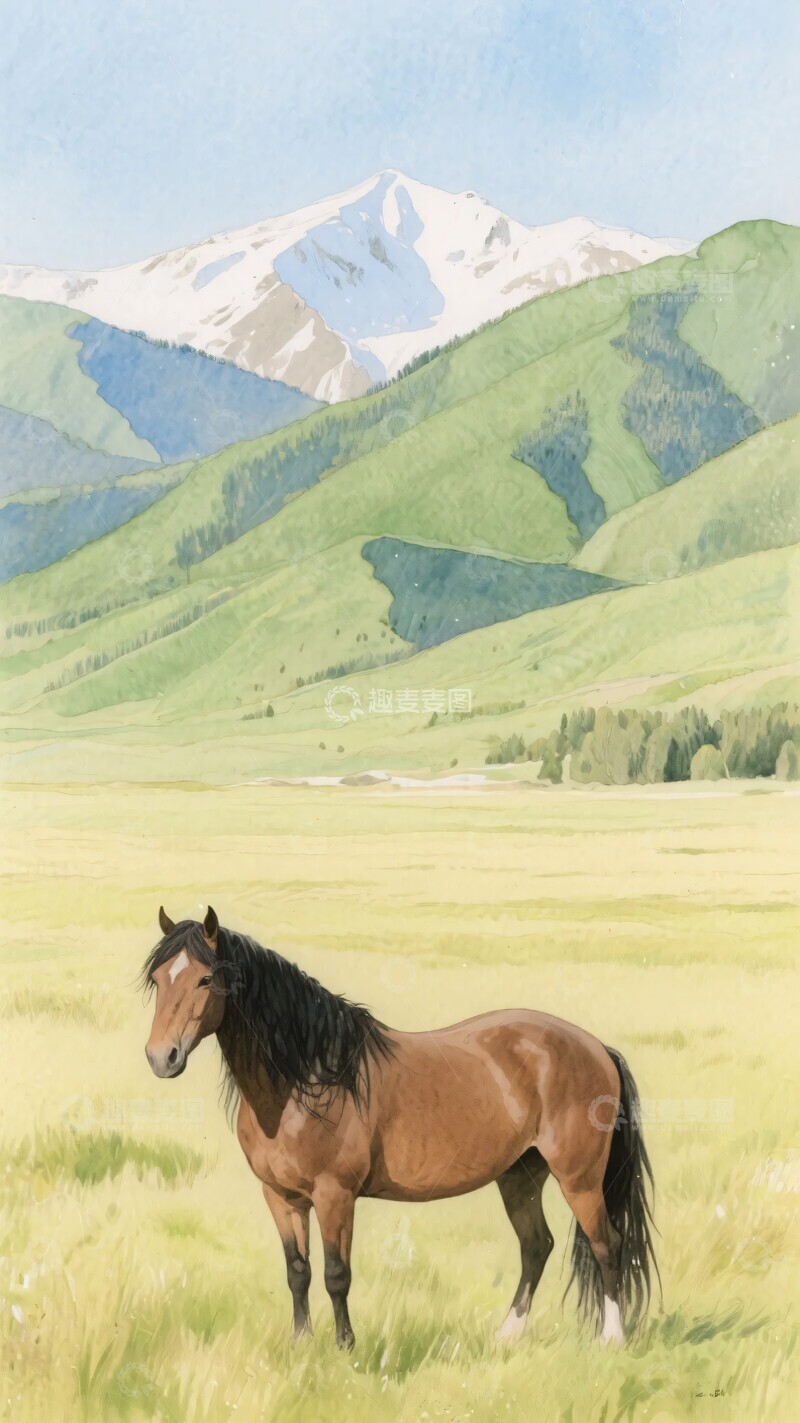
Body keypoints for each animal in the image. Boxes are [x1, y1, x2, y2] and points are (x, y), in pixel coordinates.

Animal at [142, 906, 658, 1350]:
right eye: (157, 979)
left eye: (205, 978)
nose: (161, 1057)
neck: (307, 1080)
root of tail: (596, 1047)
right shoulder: (281, 1196)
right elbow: (297, 1271)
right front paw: (301, 1344)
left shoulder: (335, 1195)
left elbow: (336, 1274)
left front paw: (345, 1348)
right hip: (520, 1175)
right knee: (537, 1246)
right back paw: (507, 1336)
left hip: (579, 1179)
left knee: (607, 1244)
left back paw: (612, 1341)